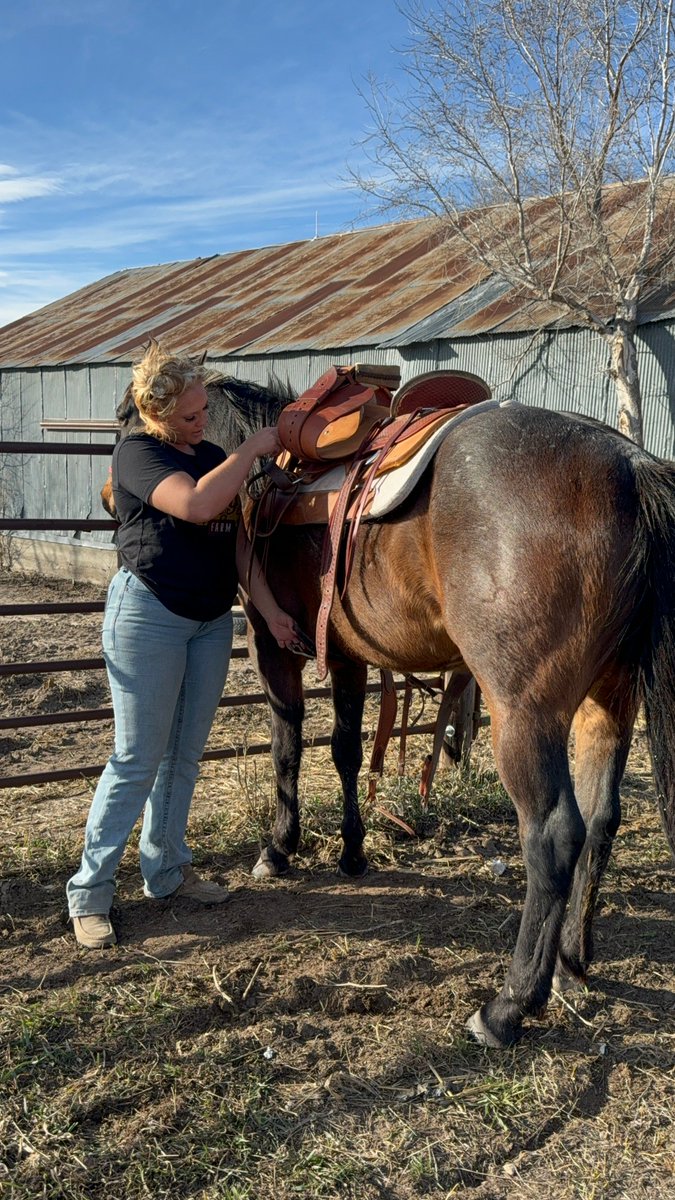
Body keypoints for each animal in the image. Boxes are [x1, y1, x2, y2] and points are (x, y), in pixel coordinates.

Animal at [107, 372, 675, 1048]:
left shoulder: (275, 647)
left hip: (525, 714)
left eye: (124, 419)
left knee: (556, 835)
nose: (112, 497)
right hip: (607, 702)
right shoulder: (348, 655)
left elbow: (287, 748)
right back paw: (571, 964)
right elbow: (348, 753)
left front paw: (279, 848)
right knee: (602, 819)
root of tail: (627, 464)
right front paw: (352, 852)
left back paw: (508, 1006)